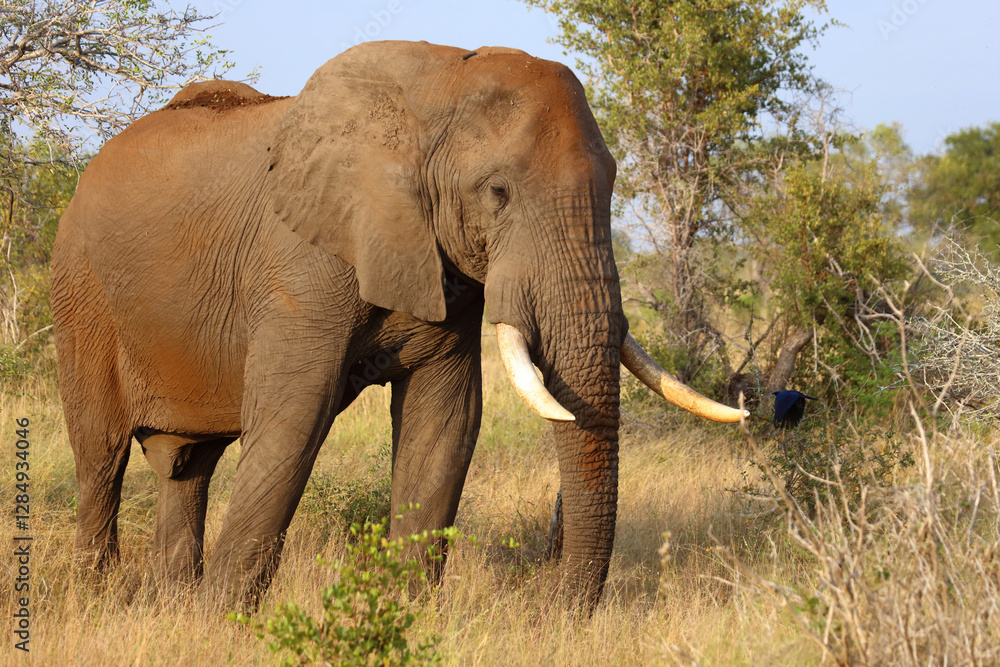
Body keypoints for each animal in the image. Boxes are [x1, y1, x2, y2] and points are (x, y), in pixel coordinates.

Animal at [51, 40, 745, 611]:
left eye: (612, 187)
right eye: (497, 193)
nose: (554, 610)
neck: (435, 91)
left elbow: (445, 422)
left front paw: (406, 619)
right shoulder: (299, 263)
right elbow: (291, 422)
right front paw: (224, 625)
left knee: (187, 465)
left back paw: (170, 603)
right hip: (82, 292)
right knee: (101, 456)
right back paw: (98, 600)